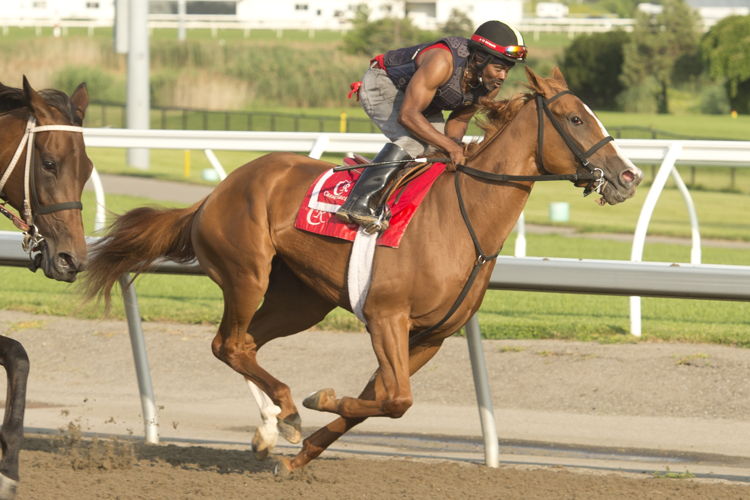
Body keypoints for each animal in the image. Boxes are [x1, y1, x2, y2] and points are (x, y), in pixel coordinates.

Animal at [85, 68, 644, 474]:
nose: (629, 177)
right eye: (574, 119)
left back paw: (270, 429)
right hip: (247, 274)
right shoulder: (386, 317)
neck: (461, 219)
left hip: (301, 299)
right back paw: (286, 410)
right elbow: (396, 401)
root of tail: (214, 193)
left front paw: (302, 455)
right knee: (229, 344)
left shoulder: (429, 336)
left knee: (246, 344)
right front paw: (320, 399)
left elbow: (383, 400)